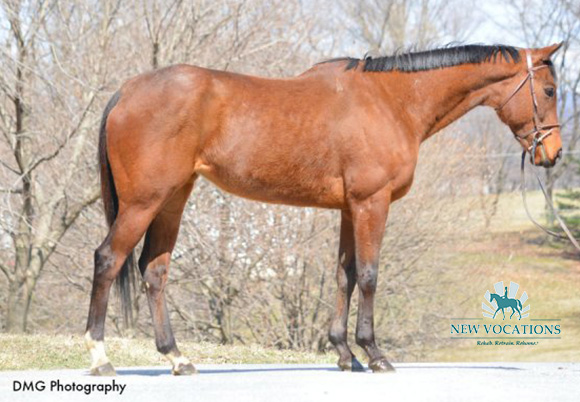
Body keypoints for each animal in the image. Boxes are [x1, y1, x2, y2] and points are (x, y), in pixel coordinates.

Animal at [85, 43, 560, 374]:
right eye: (551, 90)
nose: (552, 153)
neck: (391, 100)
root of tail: (126, 91)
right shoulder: (372, 203)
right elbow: (368, 275)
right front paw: (374, 353)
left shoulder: (350, 209)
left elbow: (343, 275)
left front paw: (344, 353)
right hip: (144, 202)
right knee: (109, 259)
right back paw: (100, 358)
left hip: (173, 198)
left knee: (153, 271)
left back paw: (177, 358)